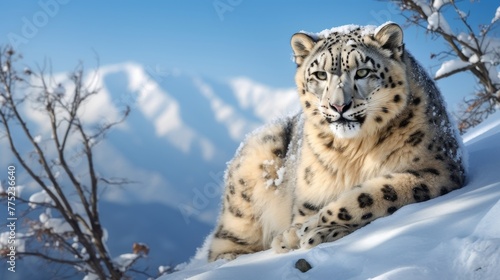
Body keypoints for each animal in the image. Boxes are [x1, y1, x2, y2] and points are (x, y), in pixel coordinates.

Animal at [206, 23, 464, 262]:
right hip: (244, 197)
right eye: (320, 75)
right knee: (223, 243)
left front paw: (311, 228)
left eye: (362, 72)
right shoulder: (310, 195)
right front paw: (297, 233)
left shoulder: (438, 168)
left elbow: (377, 193)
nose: (339, 105)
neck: (354, 150)